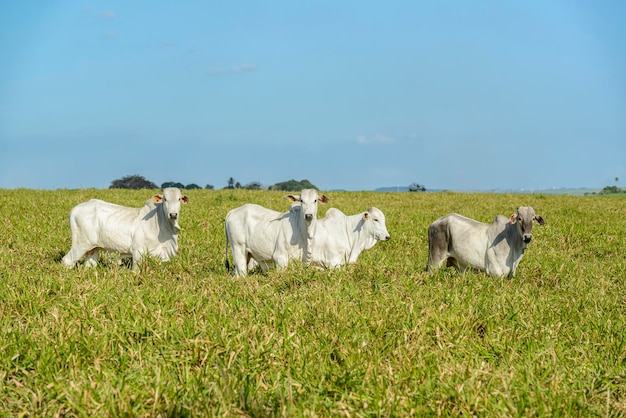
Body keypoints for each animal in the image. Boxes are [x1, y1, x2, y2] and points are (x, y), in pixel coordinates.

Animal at [61, 187, 189, 272]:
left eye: (179, 199)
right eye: (165, 199)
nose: (173, 214)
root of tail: (74, 210)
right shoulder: (137, 251)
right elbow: (136, 270)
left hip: (93, 248)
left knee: (90, 264)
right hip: (80, 244)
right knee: (67, 260)